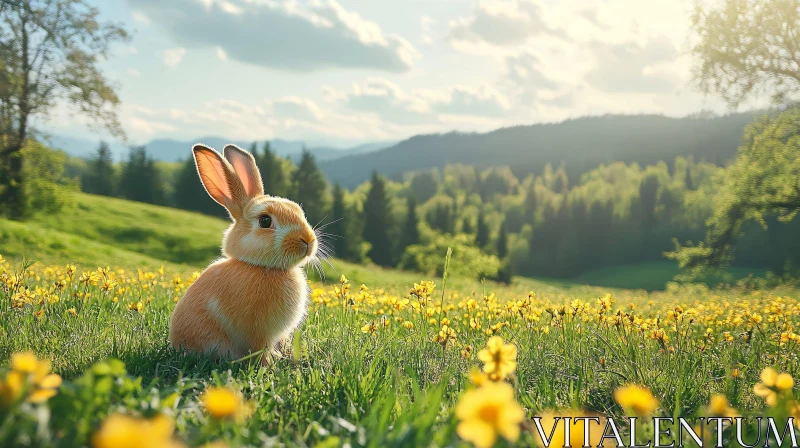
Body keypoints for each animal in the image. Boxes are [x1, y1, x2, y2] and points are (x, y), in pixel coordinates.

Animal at [170, 145, 318, 366]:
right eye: (265, 221)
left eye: (299, 210)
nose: (307, 240)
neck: (261, 267)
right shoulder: (258, 332)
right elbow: (260, 348)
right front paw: (269, 364)